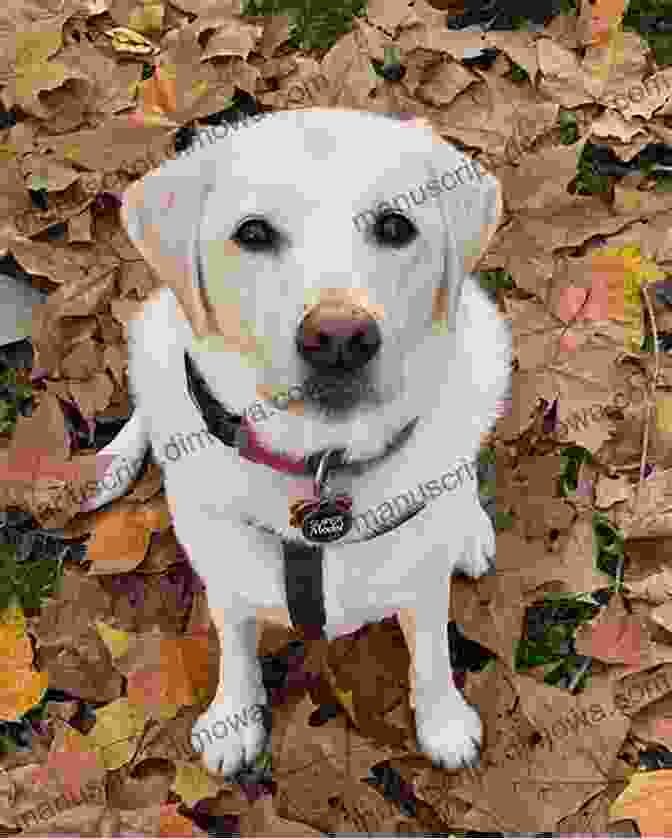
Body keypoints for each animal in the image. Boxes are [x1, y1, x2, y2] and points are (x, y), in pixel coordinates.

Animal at [89, 108, 512, 776]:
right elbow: (235, 647)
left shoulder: (422, 584)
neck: (322, 465)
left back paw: (466, 525)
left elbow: (432, 656)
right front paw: (233, 718)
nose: (339, 339)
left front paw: (444, 722)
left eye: (395, 226)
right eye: (254, 233)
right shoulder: (226, 577)